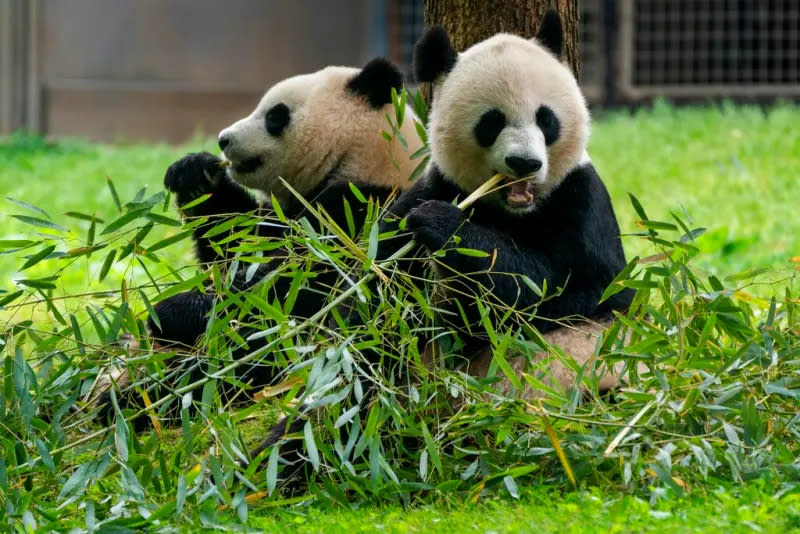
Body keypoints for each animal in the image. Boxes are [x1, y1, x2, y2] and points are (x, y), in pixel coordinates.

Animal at [97, 58, 424, 430]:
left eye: (275, 116)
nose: (223, 139)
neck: (364, 158)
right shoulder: (280, 215)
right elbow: (232, 243)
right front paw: (194, 173)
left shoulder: (362, 214)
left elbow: (289, 291)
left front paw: (173, 311)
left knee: (233, 367)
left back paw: (134, 400)